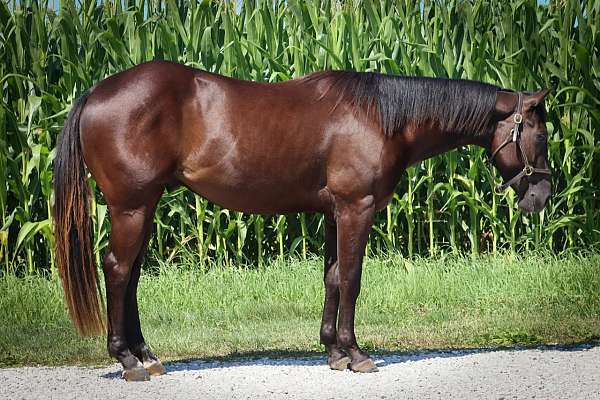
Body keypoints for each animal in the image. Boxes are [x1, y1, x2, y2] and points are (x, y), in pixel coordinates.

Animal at [54, 60, 552, 382]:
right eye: (540, 135)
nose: (542, 196)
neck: (381, 117)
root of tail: (95, 93)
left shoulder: (335, 212)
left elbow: (332, 278)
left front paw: (333, 351)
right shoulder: (356, 207)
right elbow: (351, 278)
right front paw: (356, 354)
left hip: (145, 205)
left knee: (131, 275)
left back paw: (147, 356)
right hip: (132, 206)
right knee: (118, 270)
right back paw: (127, 360)